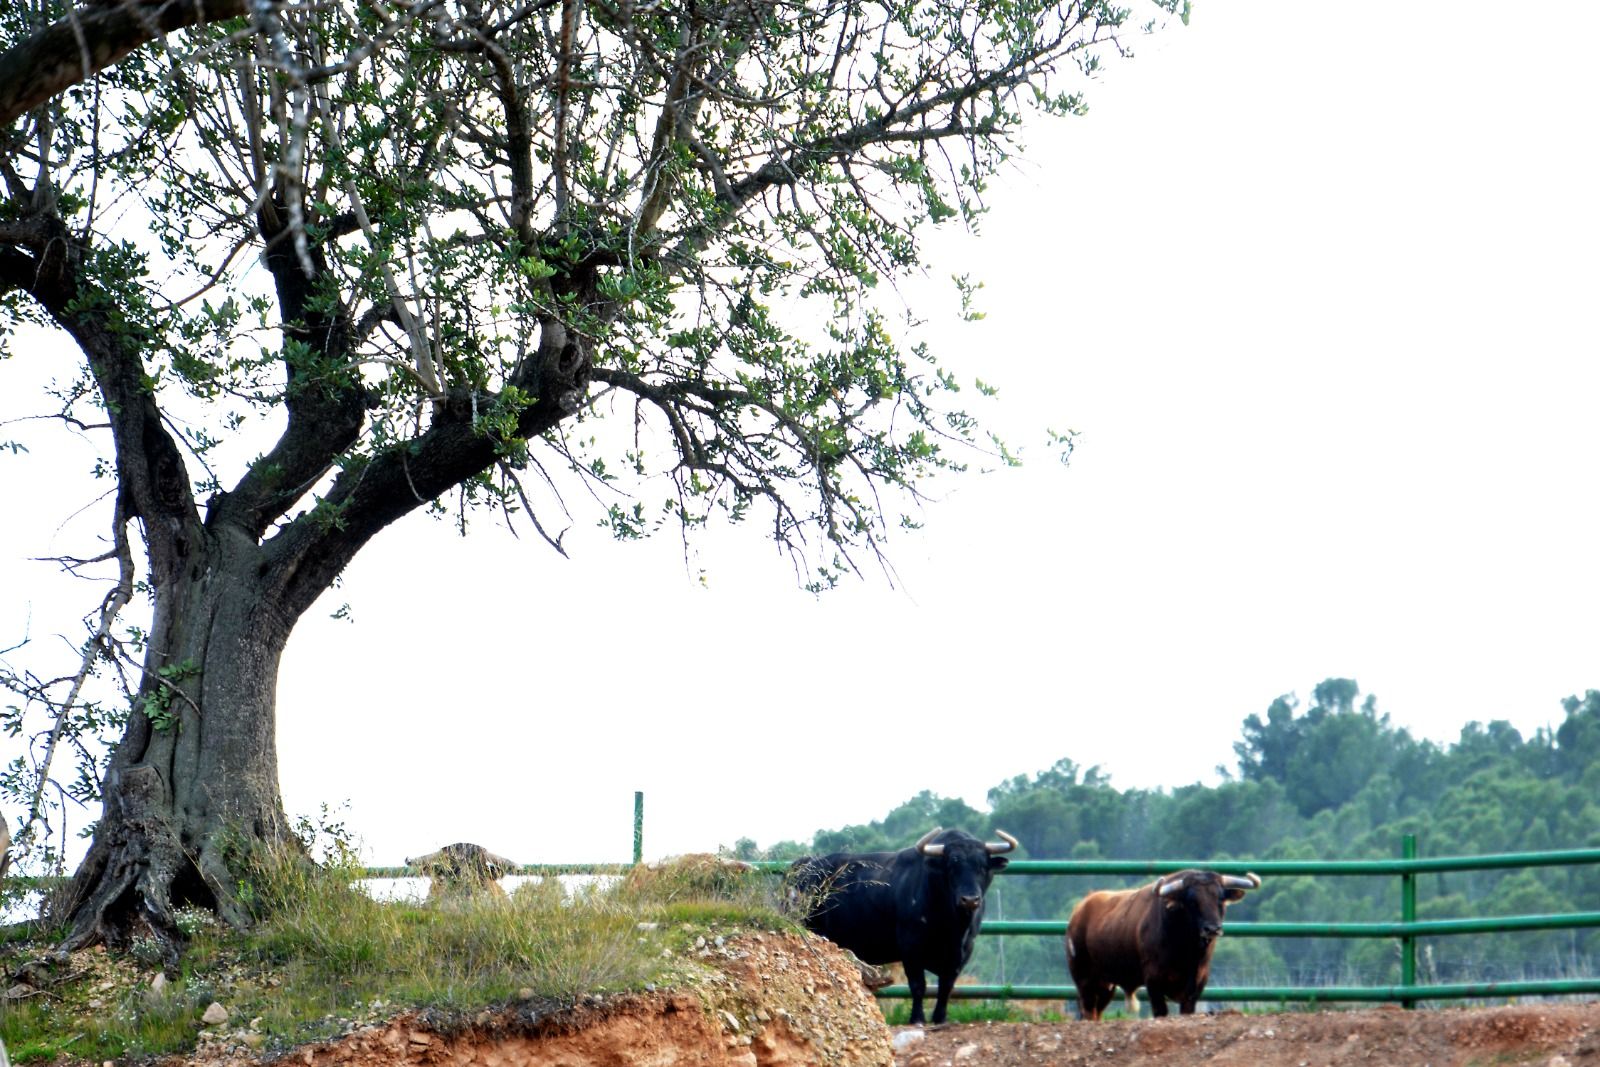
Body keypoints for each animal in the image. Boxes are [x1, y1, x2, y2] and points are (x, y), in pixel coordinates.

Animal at [784, 825, 1011, 1023]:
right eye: (951, 866)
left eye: (983, 867)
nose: (970, 900)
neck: (951, 924)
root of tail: (804, 865)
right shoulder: (910, 947)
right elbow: (918, 985)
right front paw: (917, 1018)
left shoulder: (962, 952)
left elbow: (946, 987)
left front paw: (940, 1018)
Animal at [1068, 870, 1254, 1017]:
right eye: (1192, 901)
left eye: (1220, 899)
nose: (1212, 928)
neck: (1187, 951)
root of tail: (1079, 910)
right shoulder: (1153, 981)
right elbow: (1160, 1012)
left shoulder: (1197, 983)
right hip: (1084, 978)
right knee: (1088, 1010)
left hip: (1106, 984)